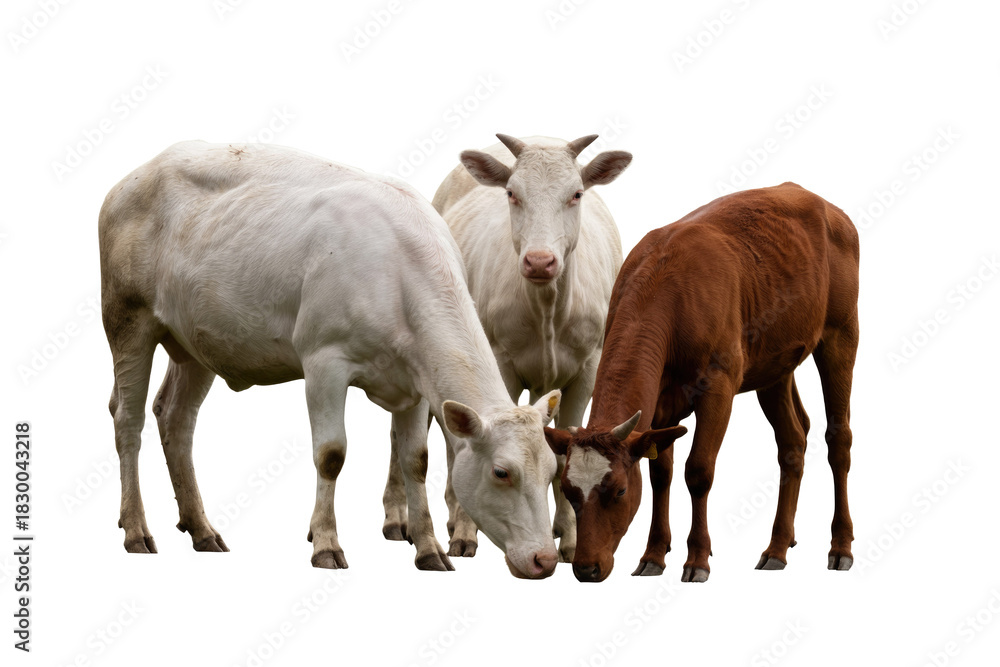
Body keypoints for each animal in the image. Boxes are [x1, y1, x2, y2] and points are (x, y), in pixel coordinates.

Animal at [99, 140, 563, 578]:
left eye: (552, 471)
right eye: (502, 472)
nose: (544, 559)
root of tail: (136, 175)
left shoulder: (416, 380)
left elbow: (416, 460)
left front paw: (429, 549)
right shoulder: (324, 361)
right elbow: (331, 454)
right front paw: (326, 544)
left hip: (194, 338)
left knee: (176, 417)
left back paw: (202, 529)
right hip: (127, 318)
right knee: (128, 419)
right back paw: (136, 529)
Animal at [381, 134, 631, 562]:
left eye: (576, 193)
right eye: (512, 193)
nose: (539, 261)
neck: (548, 308)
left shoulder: (588, 366)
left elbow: (564, 446)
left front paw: (571, 536)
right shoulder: (498, 360)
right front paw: (466, 532)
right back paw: (402, 519)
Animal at [544, 182, 860, 582]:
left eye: (619, 491)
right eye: (570, 491)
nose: (586, 567)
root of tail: (820, 202)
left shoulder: (718, 387)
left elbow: (698, 470)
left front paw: (697, 558)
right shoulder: (659, 404)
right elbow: (661, 473)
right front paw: (653, 554)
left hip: (841, 331)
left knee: (838, 438)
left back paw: (841, 546)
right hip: (774, 360)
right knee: (793, 439)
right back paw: (777, 547)